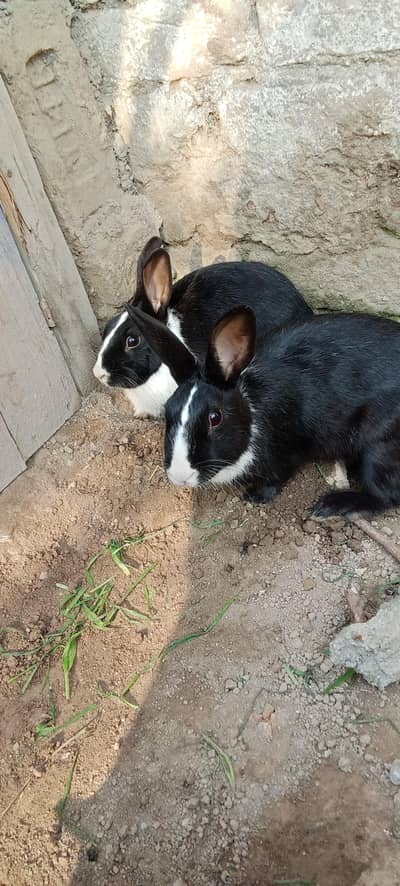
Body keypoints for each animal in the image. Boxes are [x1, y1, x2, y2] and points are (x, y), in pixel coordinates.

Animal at [128, 303, 400, 518]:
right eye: (168, 411)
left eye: (215, 418)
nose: (179, 476)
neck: (250, 409)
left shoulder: (288, 452)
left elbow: (277, 476)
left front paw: (256, 495)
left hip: (380, 448)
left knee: (384, 496)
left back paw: (333, 506)